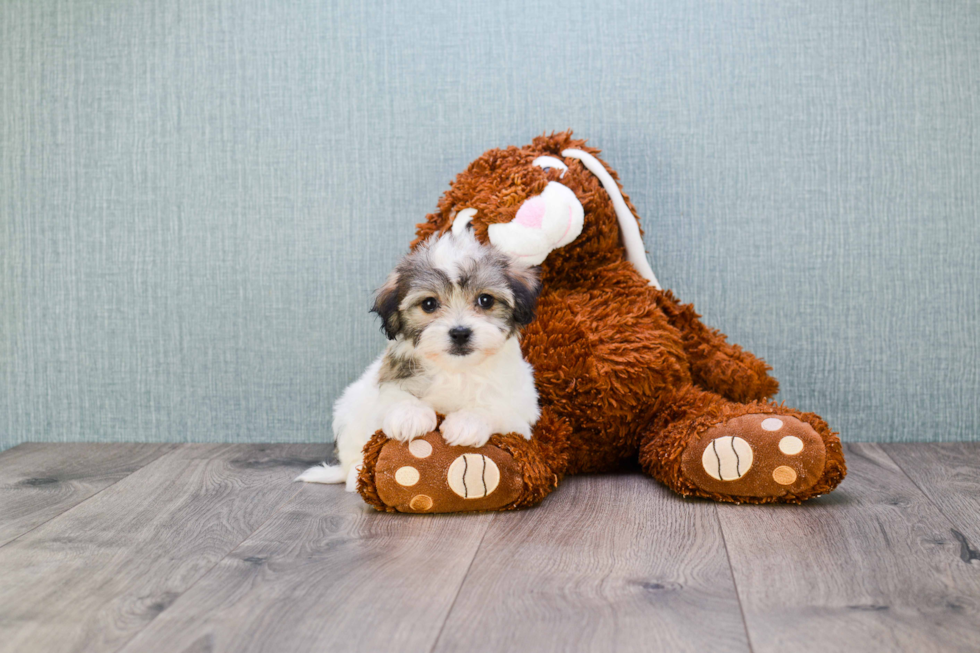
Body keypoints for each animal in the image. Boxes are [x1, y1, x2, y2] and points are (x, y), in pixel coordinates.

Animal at [298, 229, 544, 488]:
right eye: (429, 304)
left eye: (485, 300)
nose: (460, 332)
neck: (456, 370)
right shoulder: (389, 381)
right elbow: (394, 397)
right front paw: (410, 416)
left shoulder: (522, 411)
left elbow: (496, 408)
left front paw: (467, 422)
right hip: (349, 410)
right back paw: (356, 473)